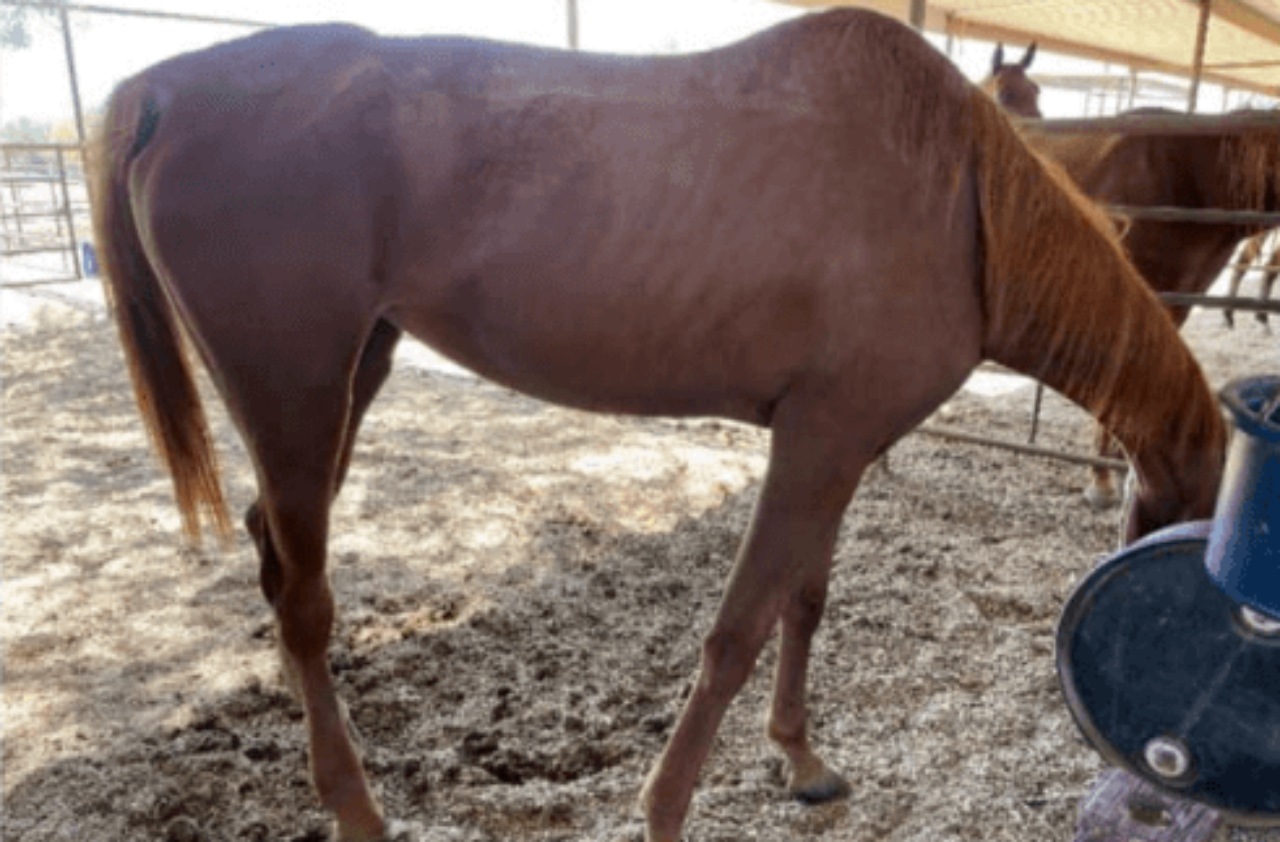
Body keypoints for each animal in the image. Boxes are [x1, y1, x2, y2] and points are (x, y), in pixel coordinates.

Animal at [94, 13, 1223, 839]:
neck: (960, 204)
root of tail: (170, 88)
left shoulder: (839, 447)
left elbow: (802, 602)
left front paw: (801, 758)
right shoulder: (814, 442)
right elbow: (734, 631)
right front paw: (668, 806)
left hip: (347, 374)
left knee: (275, 559)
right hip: (292, 387)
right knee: (304, 597)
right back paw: (359, 808)